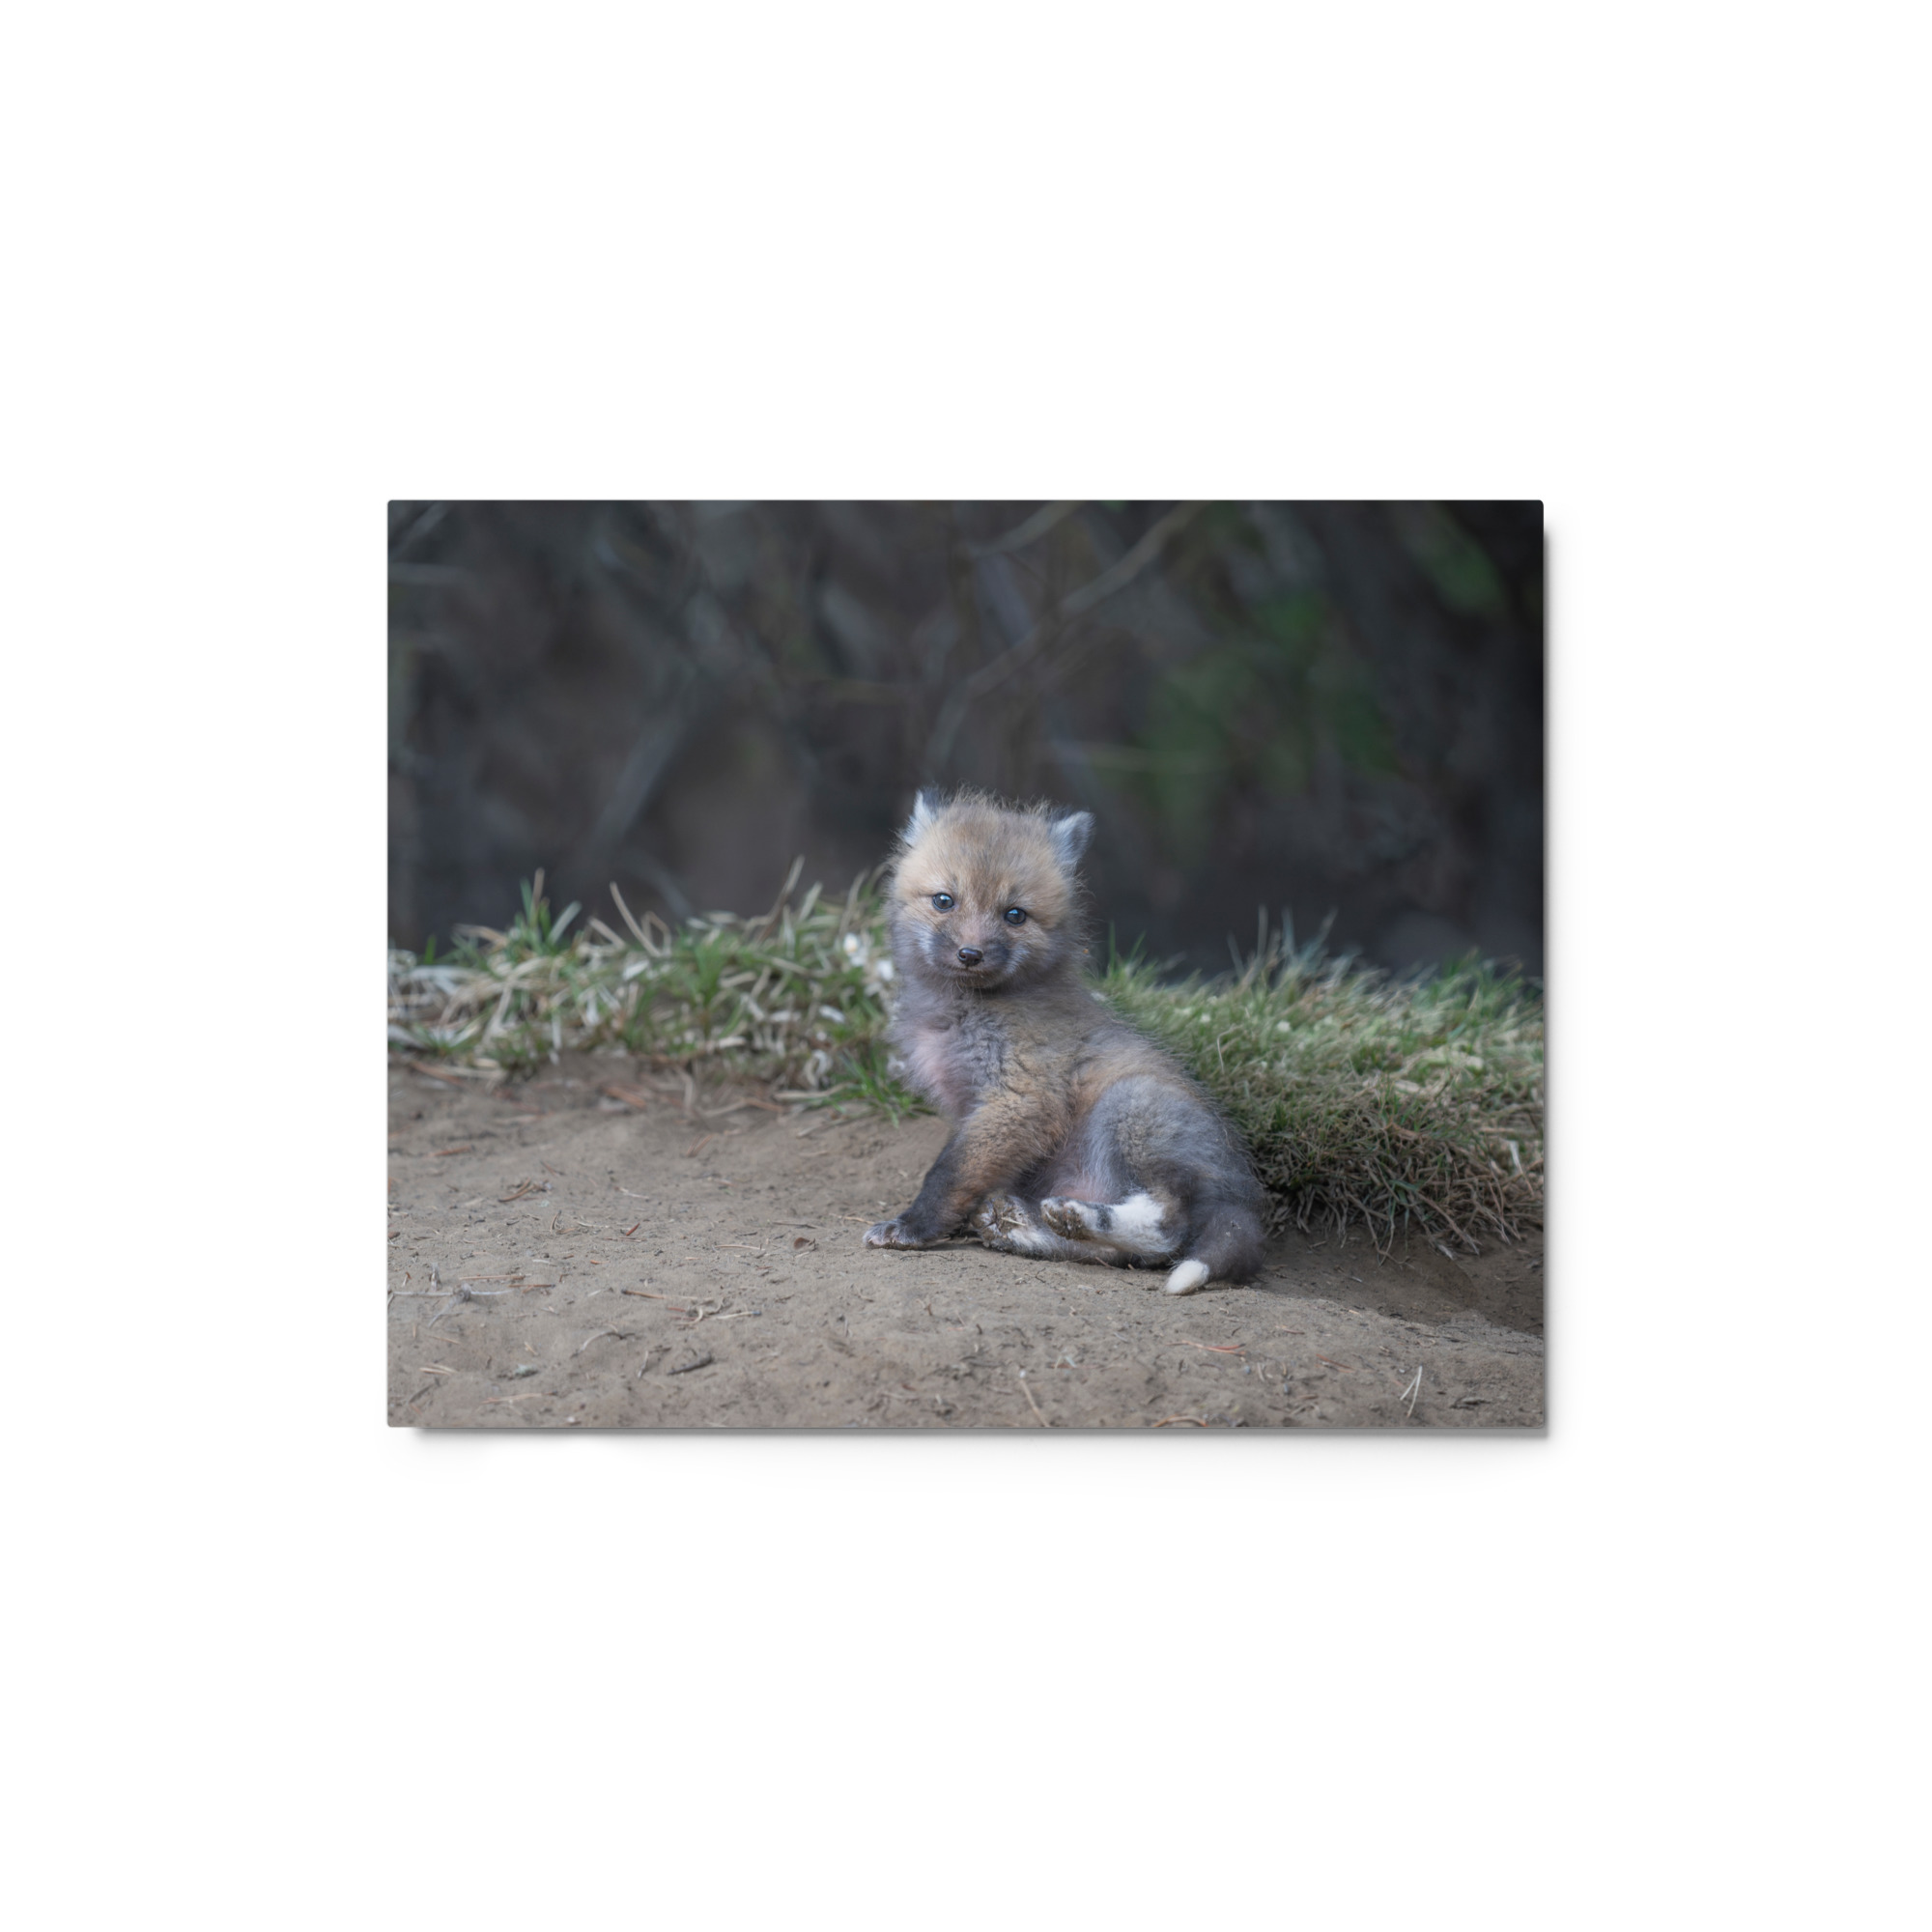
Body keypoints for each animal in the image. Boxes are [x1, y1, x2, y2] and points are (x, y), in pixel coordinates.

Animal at [863, 790, 1267, 1293]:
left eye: (1015, 915)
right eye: (944, 901)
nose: (970, 954)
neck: (964, 1011)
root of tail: (1243, 1195)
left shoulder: (1020, 1098)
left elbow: (948, 1173)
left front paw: (913, 1227)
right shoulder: (976, 1109)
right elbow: (966, 1174)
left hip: (1130, 1107)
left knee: (1167, 1229)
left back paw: (1076, 1217)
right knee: (1120, 1255)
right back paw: (1024, 1227)